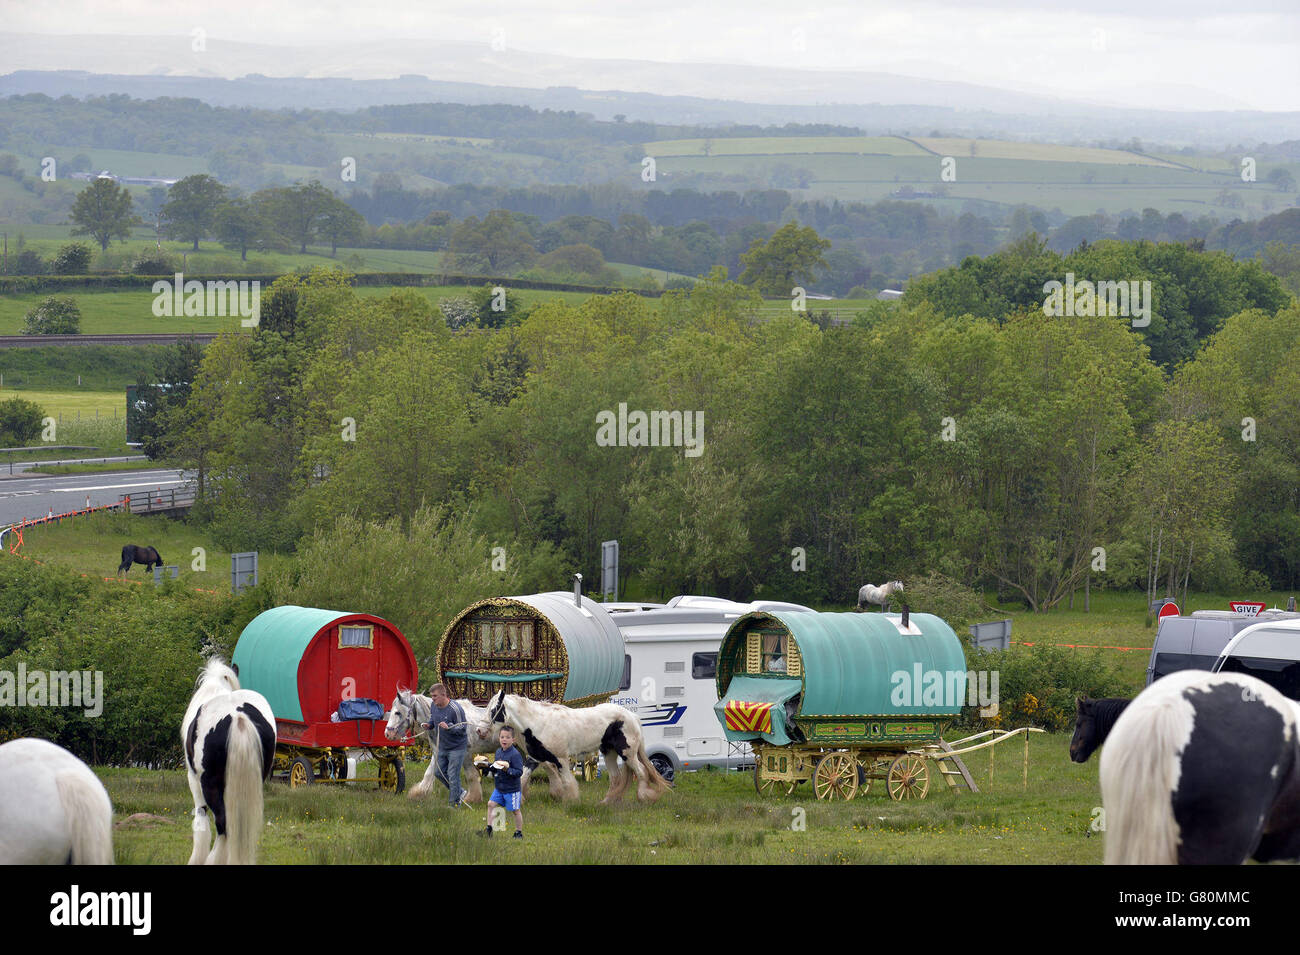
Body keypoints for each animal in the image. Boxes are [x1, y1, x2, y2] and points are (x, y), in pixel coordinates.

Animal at [486, 691, 670, 805]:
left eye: (495, 709)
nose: (483, 730)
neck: (540, 723)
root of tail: (632, 716)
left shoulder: (561, 759)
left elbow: (568, 782)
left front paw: (571, 801)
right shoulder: (535, 758)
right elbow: (523, 777)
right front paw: (520, 801)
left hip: (628, 754)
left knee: (642, 772)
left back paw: (644, 798)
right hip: (609, 753)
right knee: (616, 778)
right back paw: (606, 802)